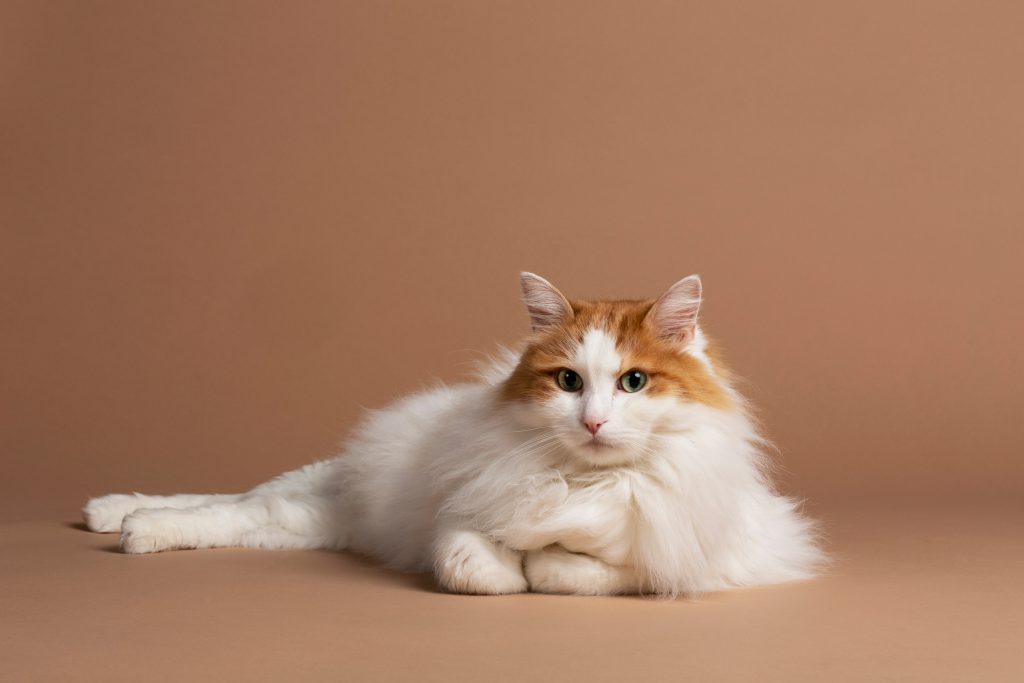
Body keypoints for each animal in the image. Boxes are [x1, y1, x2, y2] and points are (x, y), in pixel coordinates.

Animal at [86, 274, 823, 593]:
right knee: (225, 503)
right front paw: (509, 562)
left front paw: (540, 559)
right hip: (306, 494)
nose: (592, 421)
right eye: (568, 382)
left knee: (235, 514)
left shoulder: (699, 555)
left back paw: (123, 524)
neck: (582, 480)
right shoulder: (462, 509)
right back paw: (119, 516)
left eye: (634, 382)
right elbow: (472, 562)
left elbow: (579, 567)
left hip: (306, 521)